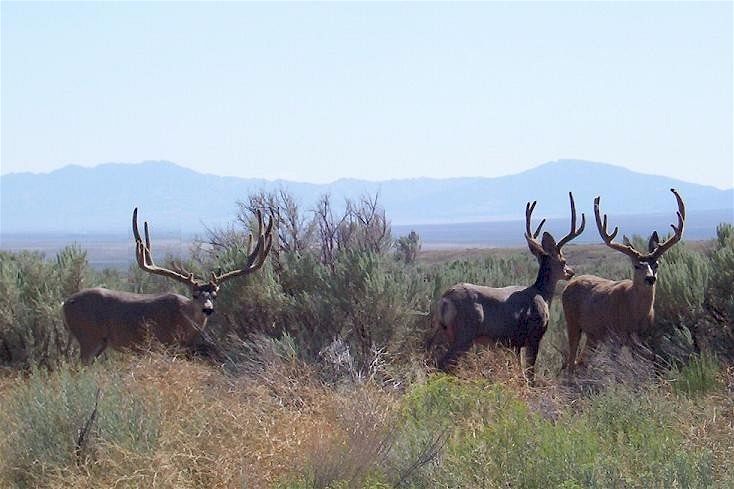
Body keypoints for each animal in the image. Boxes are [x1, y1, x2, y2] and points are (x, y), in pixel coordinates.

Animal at [62, 207, 274, 365]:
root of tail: (64, 304)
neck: (182, 319)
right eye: (195, 294)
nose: (207, 309)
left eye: (214, 295)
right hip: (88, 336)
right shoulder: (162, 344)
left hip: (99, 343)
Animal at [433, 192, 585, 384]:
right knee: (442, 363)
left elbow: (518, 372)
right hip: (465, 333)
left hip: (446, 332)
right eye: (563, 261)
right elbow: (530, 374)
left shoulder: (513, 343)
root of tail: (445, 300)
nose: (571, 272)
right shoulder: (534, 336)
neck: (542, 294)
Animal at [562, 188, 685, 373]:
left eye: (656, 264)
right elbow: (620, 367)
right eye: (636, 265)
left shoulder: (643, 335)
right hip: (573, 322)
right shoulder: (617, 336)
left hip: (593, 335)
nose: (650, 278)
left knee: (581, 361)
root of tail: (570, 284)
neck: (634, 311)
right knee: (571, 361)